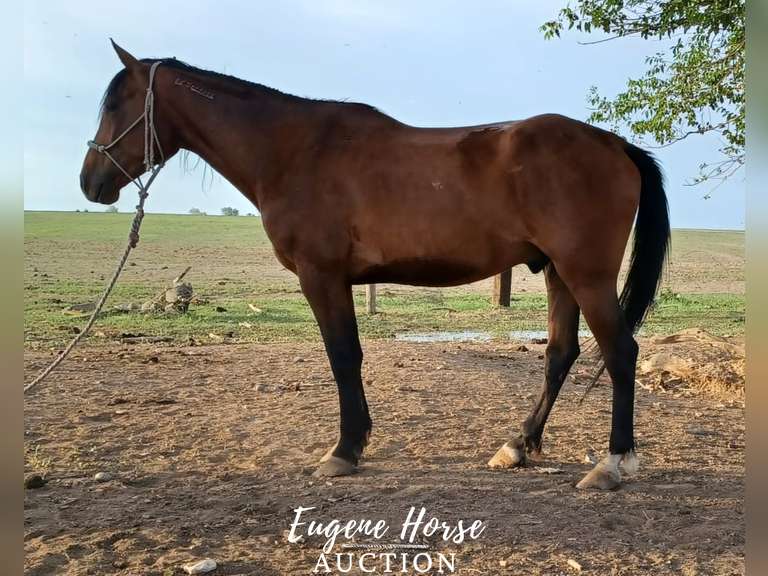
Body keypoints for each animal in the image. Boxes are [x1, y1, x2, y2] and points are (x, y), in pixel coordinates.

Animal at [80, 41, 670, 489]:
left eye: (116, 105)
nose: (90, 182)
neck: (292, 151)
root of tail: (614, 144)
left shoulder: (321, 277)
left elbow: (344, 357)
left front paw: (344, 450)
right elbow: (350, 357)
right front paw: (355, 442)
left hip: (586, 275)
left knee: (620, 353)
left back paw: (613, 464)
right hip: (557, 273)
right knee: (560, 353)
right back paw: (518, 445)